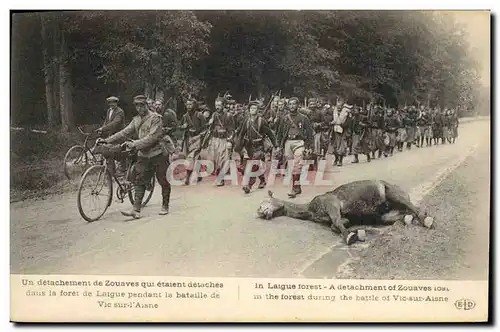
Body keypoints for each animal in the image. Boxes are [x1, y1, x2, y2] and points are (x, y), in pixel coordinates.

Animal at [258, 180, 434, 245]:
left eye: (265, 202)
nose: (260, 212)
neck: (309, 209)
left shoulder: (331, 203)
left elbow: (336, 222)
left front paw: (351, 236)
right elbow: (337, 224)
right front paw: (358, 233)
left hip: (394, 193)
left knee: (415, 208)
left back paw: (427, 220)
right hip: (386, 215)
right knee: (405, 214)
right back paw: (410, 219)